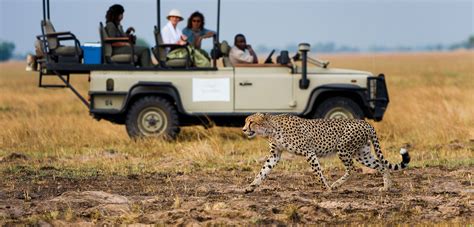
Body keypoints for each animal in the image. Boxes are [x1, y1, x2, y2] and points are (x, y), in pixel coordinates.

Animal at [243, 112, 410, 192]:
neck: (271, 129)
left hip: (343, 149)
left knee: (352, 169)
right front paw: (251, 186)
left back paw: (335, 185)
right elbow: (263, 171)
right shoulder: (275, 154)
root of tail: (365, 122)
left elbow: (318, 172)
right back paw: (387, 187)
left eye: (251, 122)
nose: (244, 129)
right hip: (362, 154)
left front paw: (326, 188)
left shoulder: (309, 152)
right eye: (246, 121)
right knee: (381, 166)